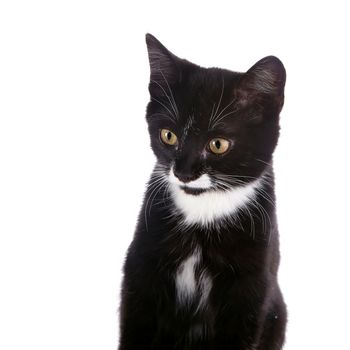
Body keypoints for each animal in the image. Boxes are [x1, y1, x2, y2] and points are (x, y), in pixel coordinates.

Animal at [119, 33, 286, 350]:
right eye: (168, 135)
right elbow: (135, 326)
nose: (183, 172)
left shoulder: (251, 285)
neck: (203, 213)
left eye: (218, 144)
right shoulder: (141, 267)